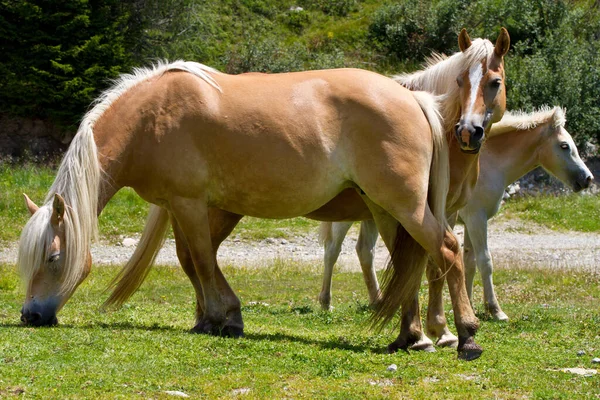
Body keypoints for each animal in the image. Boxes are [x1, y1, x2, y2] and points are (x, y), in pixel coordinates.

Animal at [104, 28, 510, 360]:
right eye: (459, 80)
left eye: (494, 81)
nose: (468, 131)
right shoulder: (421, 210)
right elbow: (431, 264)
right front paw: (440, 332)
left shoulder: (417, 211)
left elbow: (423, 264)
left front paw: (431, 331)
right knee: (196, 256)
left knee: (195, 256)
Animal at [318, 105, 592, 322]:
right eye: (564, 146)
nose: (587, 179)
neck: (488, 164)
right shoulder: (477, 219)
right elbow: (485, 261)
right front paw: (495, 310)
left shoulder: (471, 223)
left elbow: (469, 261)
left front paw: (465, 303)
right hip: (349, 220)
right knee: (333, 251)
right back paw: (326, 302)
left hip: (374, 217)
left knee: (365, 251)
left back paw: (378, 301)